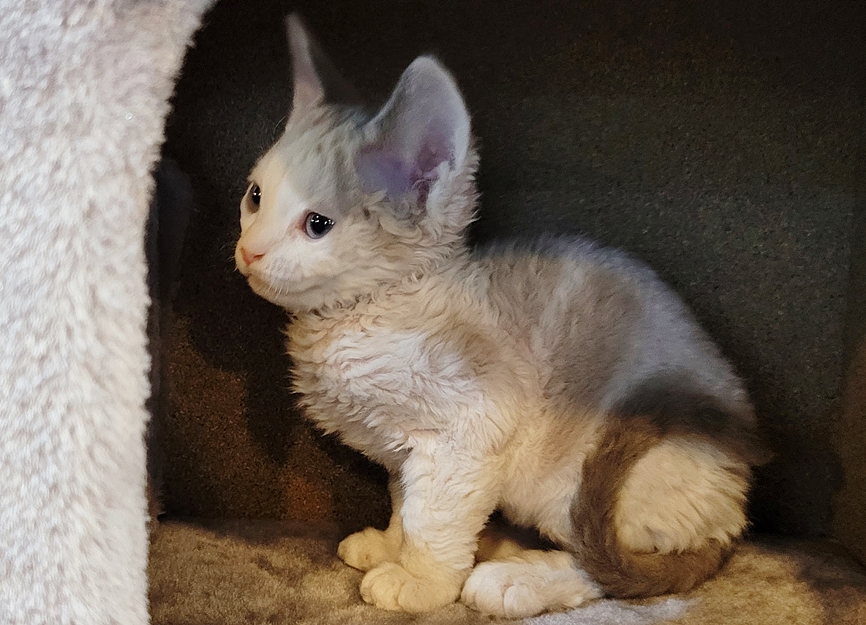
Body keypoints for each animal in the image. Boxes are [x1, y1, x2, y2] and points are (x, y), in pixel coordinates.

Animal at [234, 14, 766, 617]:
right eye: (255, 197)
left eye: (317, 225)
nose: (249, 251)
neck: (366, 316)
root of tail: (735, 513)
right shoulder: (406, 451)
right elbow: (405, 502)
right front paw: (390, 547)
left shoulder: (468, 431)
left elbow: (432, 519)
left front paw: (420, 581)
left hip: (581, 477)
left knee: (609, 563)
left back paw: (512, 579)